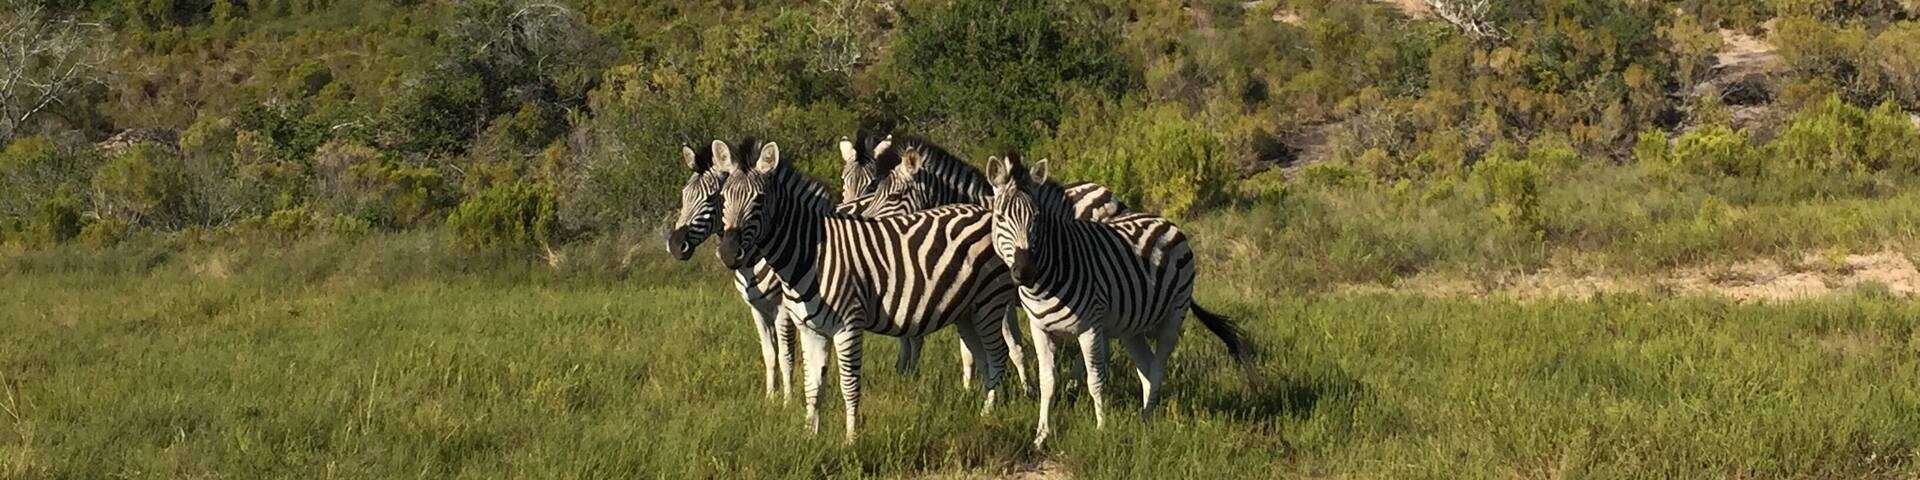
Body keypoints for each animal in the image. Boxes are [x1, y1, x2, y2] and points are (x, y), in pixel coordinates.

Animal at [713, 140, 1018, 441]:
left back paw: (989, 415)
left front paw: (851, 440)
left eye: (759, 199)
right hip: (967, 311)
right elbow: (813, 386)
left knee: (999, 354)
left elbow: (849, 386)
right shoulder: (809, 329)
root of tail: (986, 211)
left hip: (990, 302)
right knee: (982, 357)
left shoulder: (848, 325)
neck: (810, 254)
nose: (728, 252)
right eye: (723, 198)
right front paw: (810, 436)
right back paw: (981, 409)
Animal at [983, 153, 1255, 447]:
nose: (1025, 271)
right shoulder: (1039, 329)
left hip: (1174, 316)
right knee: (1146, 367)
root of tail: (1165, 221)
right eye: (1000, 217)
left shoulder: (1090, 328)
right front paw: (1041, 436)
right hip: (1132, 327)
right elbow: (1047, 381)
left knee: (1158, 366)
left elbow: (1095, 380)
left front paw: (1101, 430)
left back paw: (1146, 419)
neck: (1045, 284)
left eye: (1037, 218)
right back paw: (1146, 417)